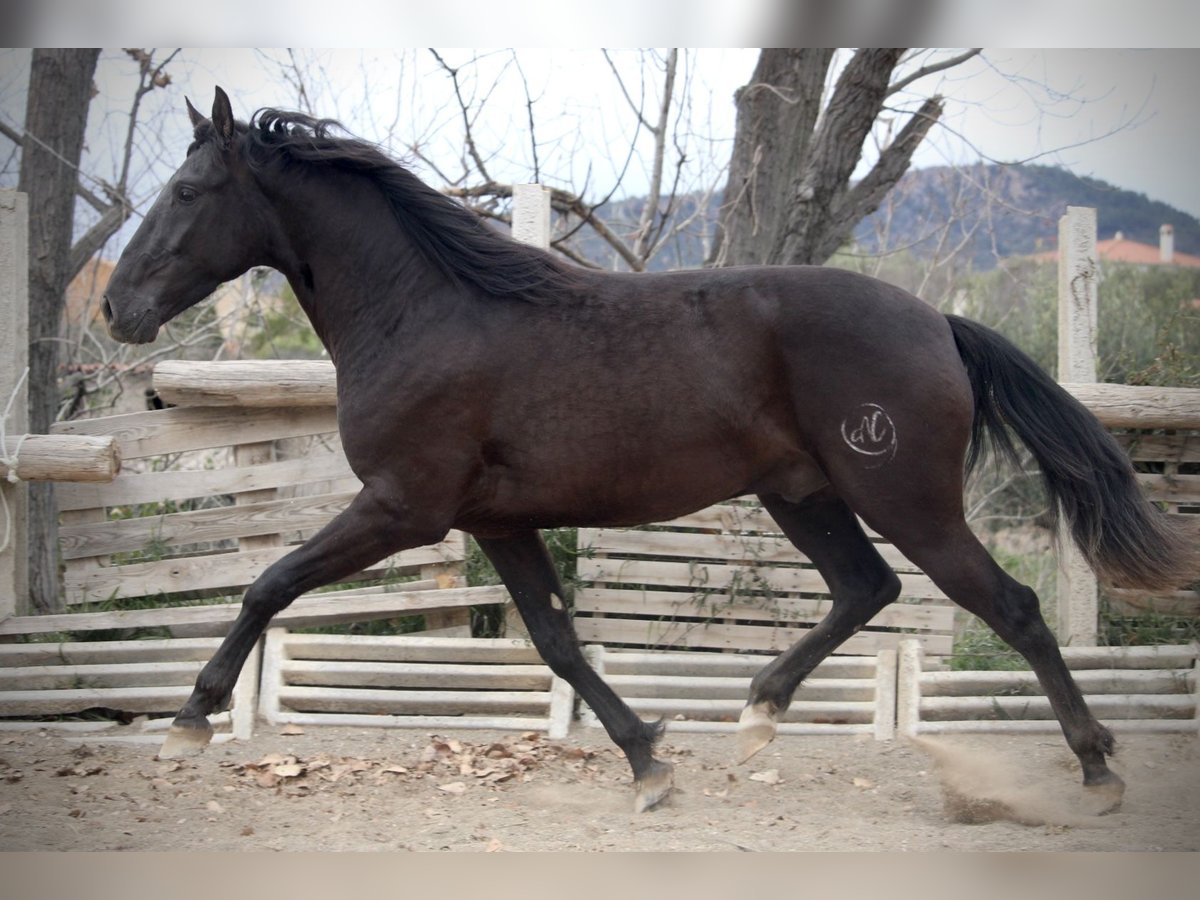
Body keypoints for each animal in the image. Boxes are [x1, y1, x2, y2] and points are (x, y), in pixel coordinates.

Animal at [100, 91, 1190, 816]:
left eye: (188, 188)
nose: (116, 309)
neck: (426, 311)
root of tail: (940, 323)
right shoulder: (495, 520)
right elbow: (556, 644)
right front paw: (649, 760)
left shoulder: (402, 507)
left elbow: (267, 585)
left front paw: (188, 722)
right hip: (805, 495)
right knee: (866, 589)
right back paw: (755, 715)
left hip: (906, 499)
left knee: (1010, 606)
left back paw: (1098, 769)